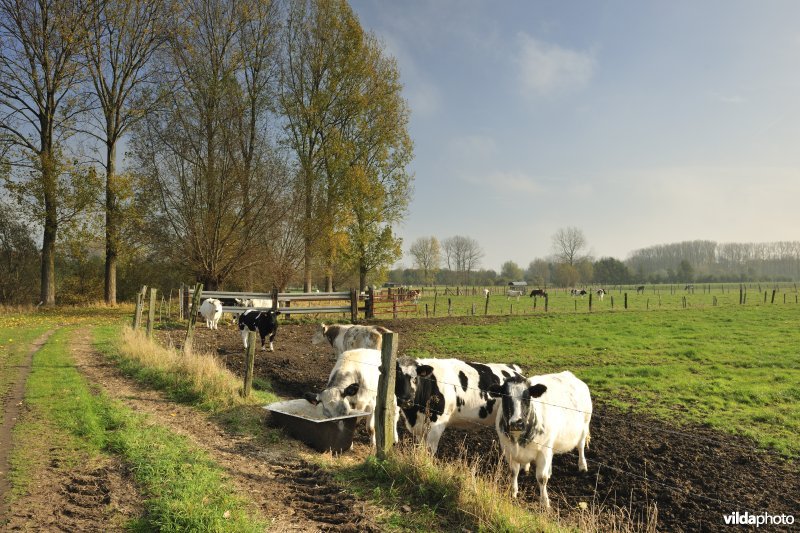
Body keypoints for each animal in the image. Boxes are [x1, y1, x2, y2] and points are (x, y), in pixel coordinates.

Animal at [394, 358, 524, 454]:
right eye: (395, 377)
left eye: (415, 378)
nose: (405, 400)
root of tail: (515, 369)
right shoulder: (419, 430)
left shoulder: (436, 426)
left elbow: (429, 452)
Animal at [488, 370, 592, 508]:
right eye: (505, 396)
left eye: (528, 397)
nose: (516, 423)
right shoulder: (507, 449)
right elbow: (513, 471)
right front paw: (513, 493)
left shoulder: (543, 450)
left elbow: (542, 478)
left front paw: (545, 502)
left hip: (584, 426)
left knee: (580, 447)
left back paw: (582, 466)